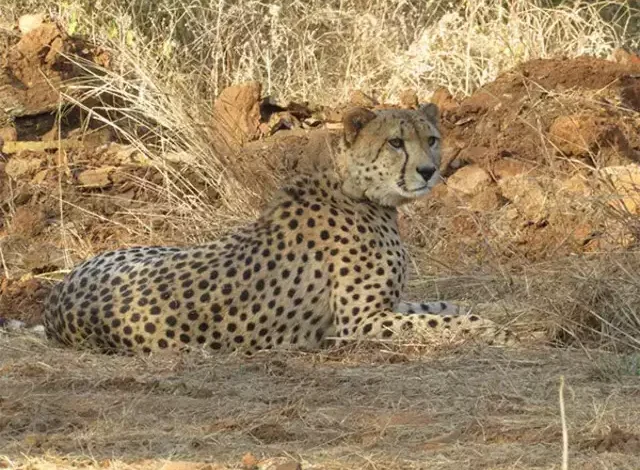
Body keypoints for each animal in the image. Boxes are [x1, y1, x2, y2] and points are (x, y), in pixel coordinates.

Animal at [43, 103, 510, 352]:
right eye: (396, 143)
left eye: (431, 139)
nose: (430, 171)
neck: (357, 191)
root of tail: (55, 300)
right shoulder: (357, 323)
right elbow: (435, 322)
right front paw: (486, 329)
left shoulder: (387, 306)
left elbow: (441, 305)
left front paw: (484, 314)